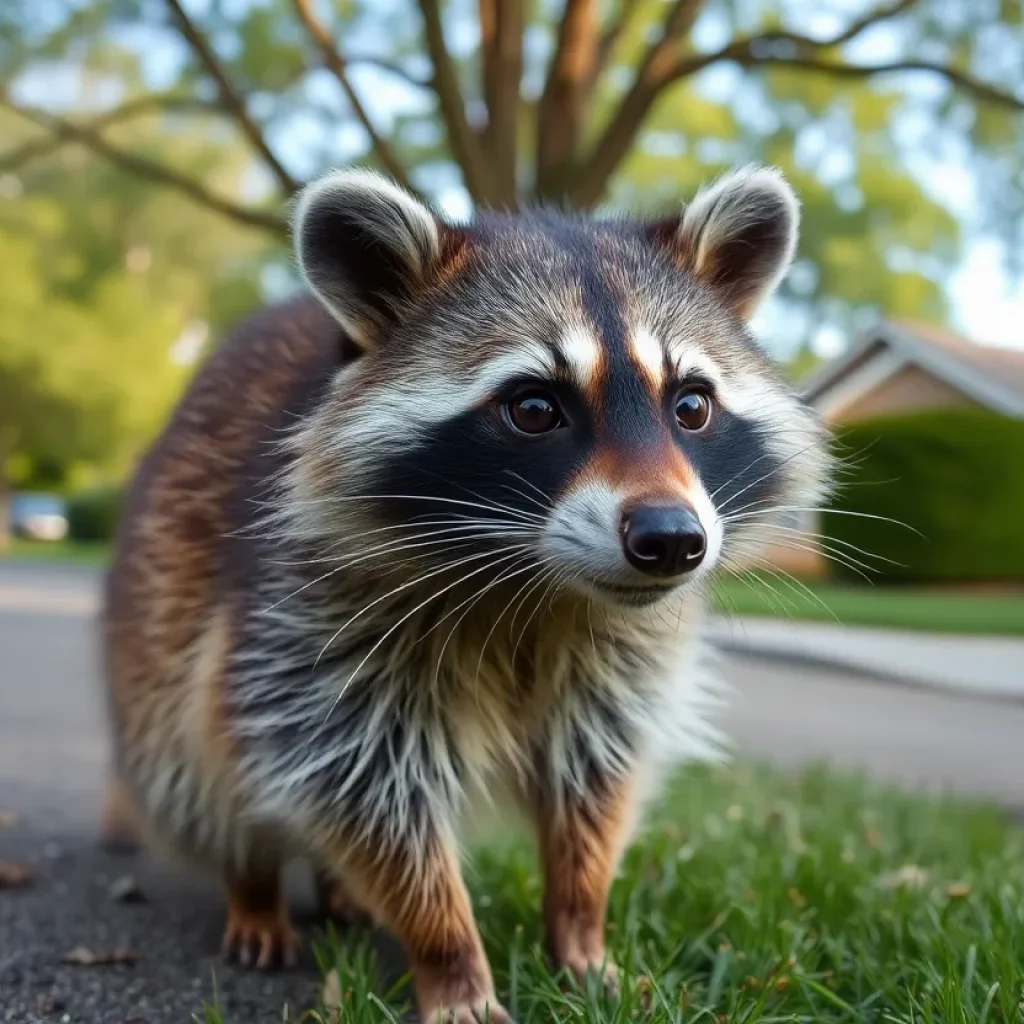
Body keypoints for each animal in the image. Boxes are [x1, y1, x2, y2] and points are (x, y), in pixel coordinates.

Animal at [101, 163, 823, 1019]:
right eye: (535, 407)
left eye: (691, 405)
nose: (672, 539)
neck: (535, 583)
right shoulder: (307, 627)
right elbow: (365, 792)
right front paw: (449, 954)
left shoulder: (617, 661)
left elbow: (594, 782)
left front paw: (582, 926)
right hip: (163, 618)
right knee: (201, 759)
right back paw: (254, 888)